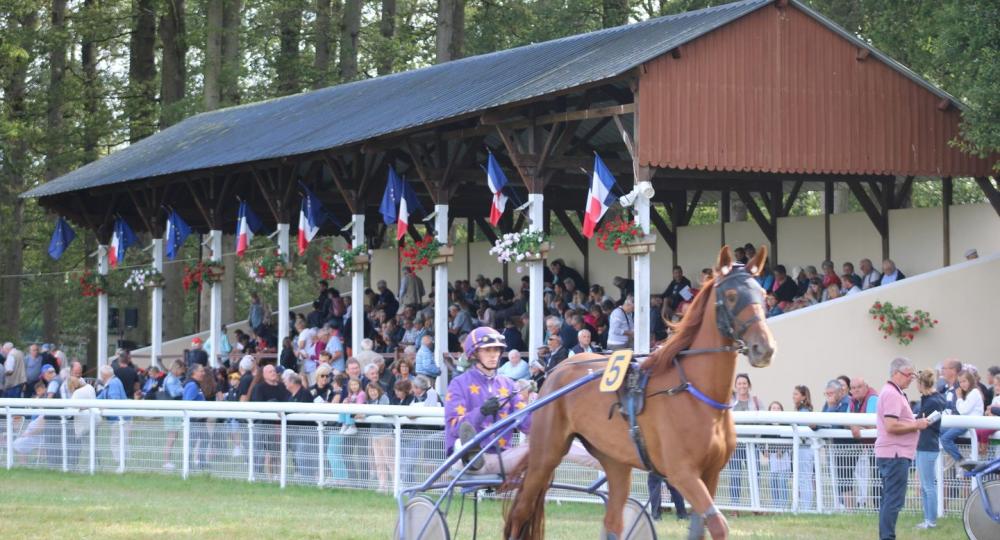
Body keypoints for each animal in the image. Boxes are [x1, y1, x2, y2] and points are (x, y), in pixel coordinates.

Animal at [504, 248, 776, 540]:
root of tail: (556, 369)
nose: (764, 348)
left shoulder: (711, 473)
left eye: (762, 293)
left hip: (614, 460)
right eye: (732, 295)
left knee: (613, 521)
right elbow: (718, 525)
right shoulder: (682, 473)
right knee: (520, 512)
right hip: (546, 454)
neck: (696, 394)